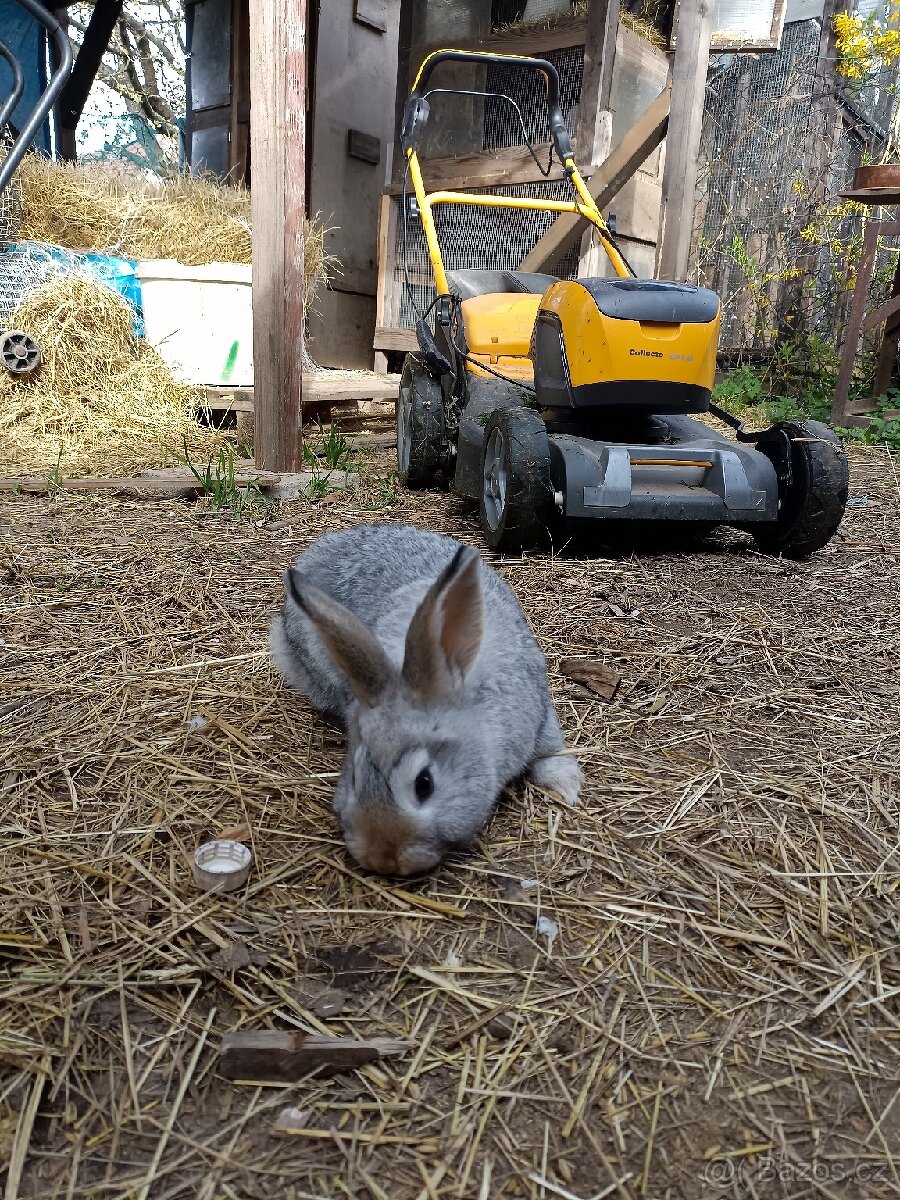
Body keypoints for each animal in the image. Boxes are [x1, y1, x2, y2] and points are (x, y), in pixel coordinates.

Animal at [270, 523, 585, 873]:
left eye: (424, 784)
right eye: (354, 777)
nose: (382, 858)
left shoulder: (540, 716)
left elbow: (551, 752)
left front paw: (567, 787)